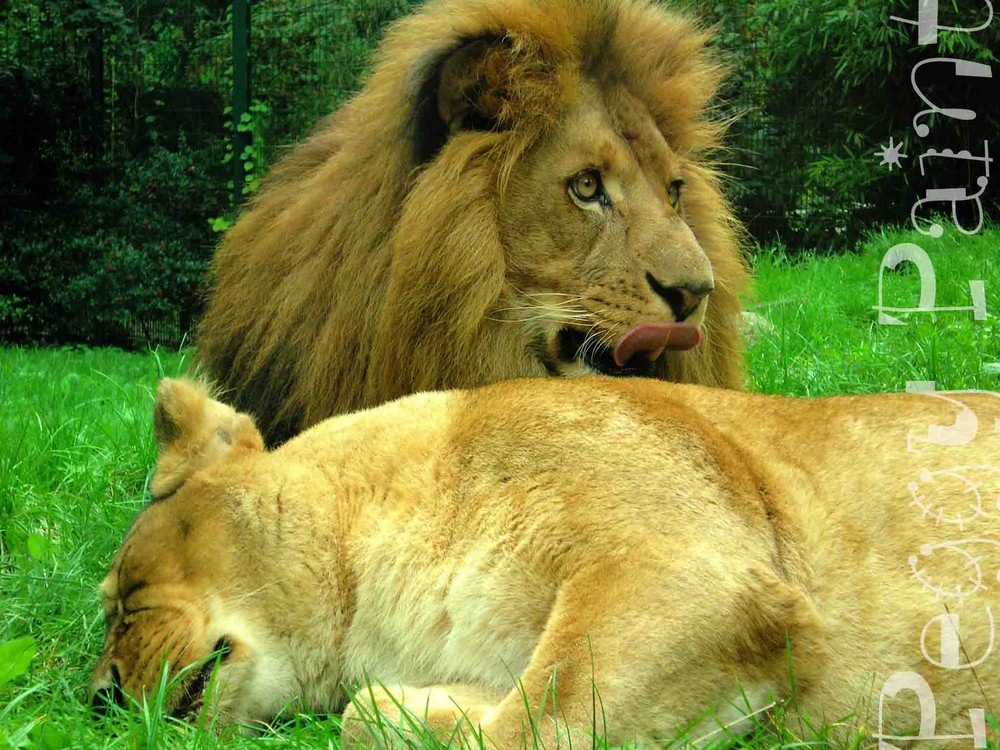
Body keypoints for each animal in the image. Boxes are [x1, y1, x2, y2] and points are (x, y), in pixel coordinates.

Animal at [90, 378, 996, 748]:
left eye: (126, 598)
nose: (98, 700)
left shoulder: (687, 569)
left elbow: (532, 726)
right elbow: (371, 713)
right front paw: (413, 708)